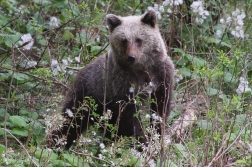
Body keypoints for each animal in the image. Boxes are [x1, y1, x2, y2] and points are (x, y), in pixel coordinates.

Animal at [50, 10, 174, 149]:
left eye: (139, 40)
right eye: (124, 40)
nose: (131, 57)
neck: (142, 68)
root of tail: (79, 73)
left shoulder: (161, 75)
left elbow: (160, 108)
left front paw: (157, 135)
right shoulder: (122, 84)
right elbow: (130, 118)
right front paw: (142, 142)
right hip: (87, 96)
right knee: (72, 121)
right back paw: (56, 143)